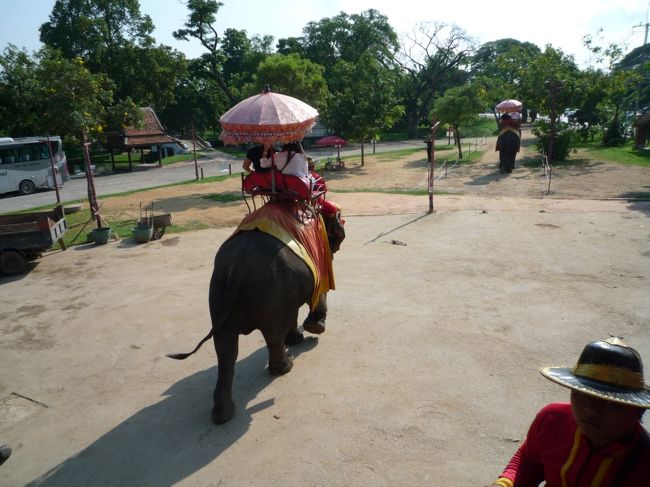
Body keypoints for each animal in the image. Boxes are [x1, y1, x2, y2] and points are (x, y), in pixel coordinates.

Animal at [167, 202, 344, 424]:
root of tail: (236, 269)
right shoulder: (318, 257)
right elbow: (321, 288)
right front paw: (313, 330)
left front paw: (297, 338)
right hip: (272, 294)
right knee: (273, 336)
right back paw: (285, 367)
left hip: (217, 295)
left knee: (226, 351)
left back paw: (222, 415)